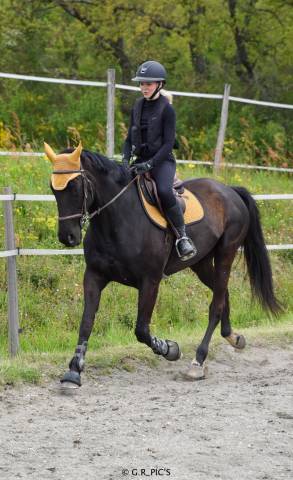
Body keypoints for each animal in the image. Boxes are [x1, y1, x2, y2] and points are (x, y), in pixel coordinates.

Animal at [44, 142, 280, 386]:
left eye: (75, 187)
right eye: (53, 189)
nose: (67, 237)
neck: (119, 219)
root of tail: (230, 190)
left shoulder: (150, 281)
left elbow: (141, 330)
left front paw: (170, 349)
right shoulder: (94, 275)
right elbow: (86, 321)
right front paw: (74, 370)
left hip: (226, 253)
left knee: (216, 305)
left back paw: (198, 362)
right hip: (201, 262)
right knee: (222, 294)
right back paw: (233, 337)